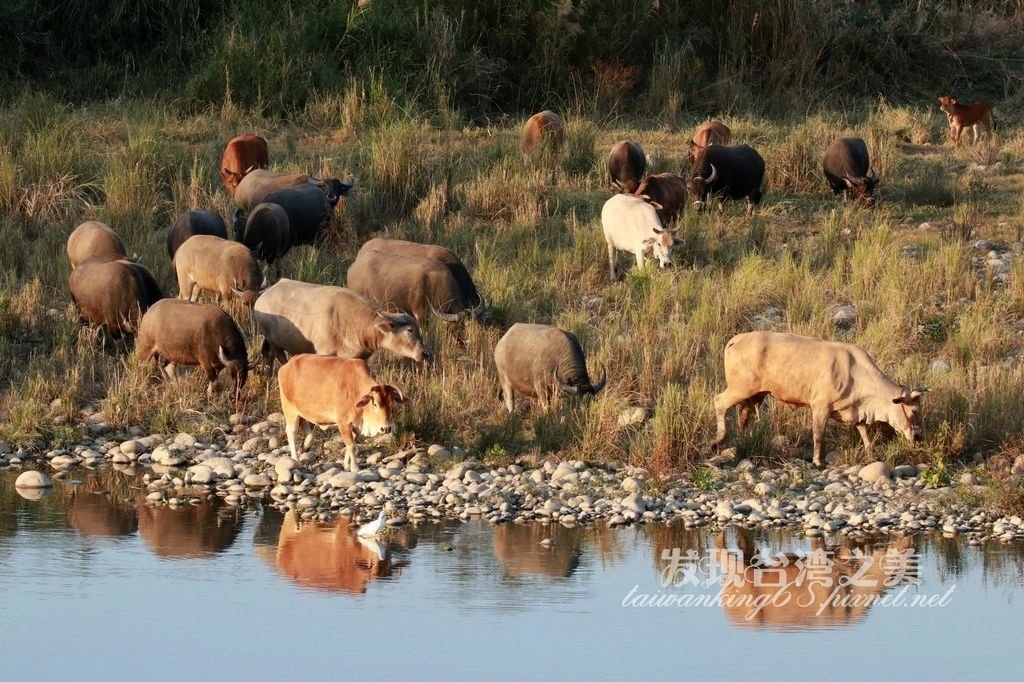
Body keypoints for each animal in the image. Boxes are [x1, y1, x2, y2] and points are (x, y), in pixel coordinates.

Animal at [280, 352, 411, 471]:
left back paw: (305, 445)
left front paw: (346, 465)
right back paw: (295, 459)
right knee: (291, 432)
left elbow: (351, 445)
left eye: (392, 404)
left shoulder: (356, 426)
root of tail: (287, 365)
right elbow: (351, 446)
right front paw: (354, 468)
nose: (386, 428)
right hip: (289, 409)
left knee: (306, 428)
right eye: (375, 404)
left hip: (301, 410)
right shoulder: (343, 423)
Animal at [712, 329, 929, 466]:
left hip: (756, 394)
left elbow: (864, 431)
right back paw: (718, 439)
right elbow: (818, 434)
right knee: (719, 402)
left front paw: (870, 450)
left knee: (744, 414)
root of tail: (737, 339)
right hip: (740, 388)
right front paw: (818, 461)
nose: (918, 436)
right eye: (914, 410)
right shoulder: (820, 406)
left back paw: (743, 438)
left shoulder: (854, 410)